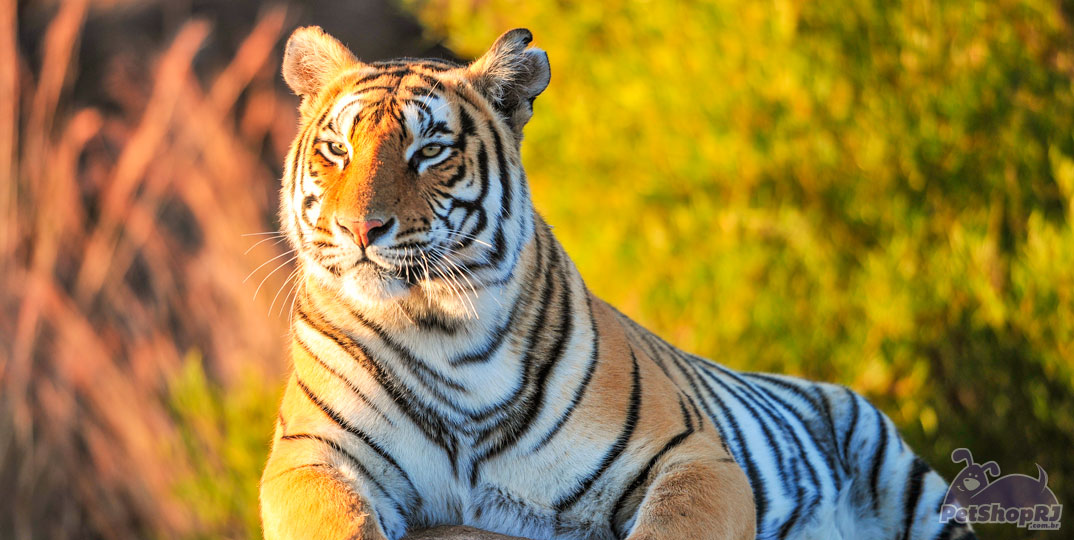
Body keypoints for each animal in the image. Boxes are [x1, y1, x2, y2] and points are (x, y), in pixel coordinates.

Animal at [257, 24, 975, 540]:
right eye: (337, 149)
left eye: (429, 150)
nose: (359, 229)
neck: (440, 330)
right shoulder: (309, 457)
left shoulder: (692, 456)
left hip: (905, 482)